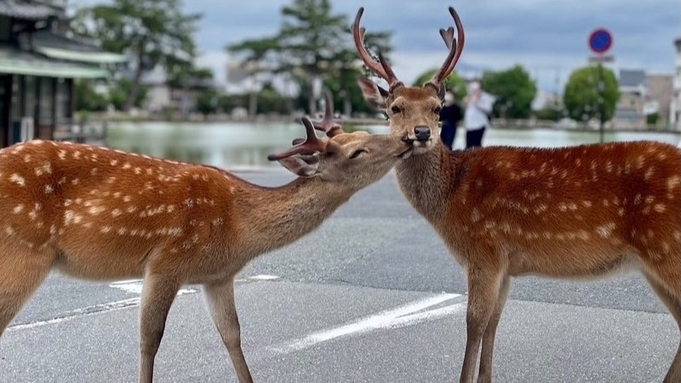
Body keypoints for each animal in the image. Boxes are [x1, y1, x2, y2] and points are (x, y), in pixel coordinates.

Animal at [0, 92, 412, 383]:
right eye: (357, 151)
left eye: (365, 134)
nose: (408, 140)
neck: (239, 229)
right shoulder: (167, 260)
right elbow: (150, 339)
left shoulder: (218, 276)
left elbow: (232, 335)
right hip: (24, 252)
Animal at [354, 6, 680, 383]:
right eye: (395, 108)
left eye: (437, 108)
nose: (421, 133)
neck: (451, 197)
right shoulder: (506, 263)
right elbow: (493, 322)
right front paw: (486, 378)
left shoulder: (484, 249)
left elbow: (474, 322)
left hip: (667, 249)